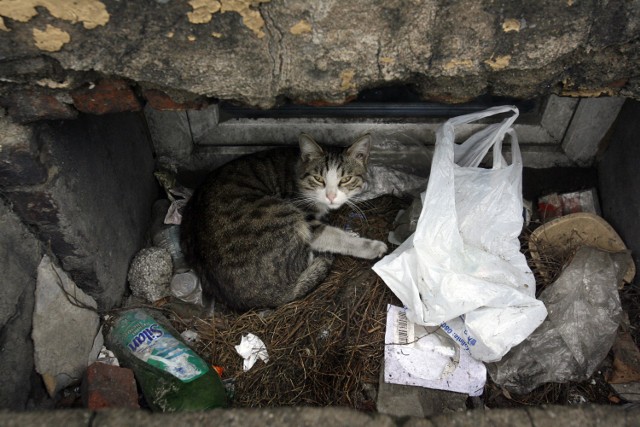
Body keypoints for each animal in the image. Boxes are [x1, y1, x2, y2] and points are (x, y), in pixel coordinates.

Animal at [182, 134, 388, 310]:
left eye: (346, 179)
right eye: (318, 179)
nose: (330, 196)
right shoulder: (306, 217)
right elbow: (334, 236)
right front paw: (370, 246)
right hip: (283, 215)